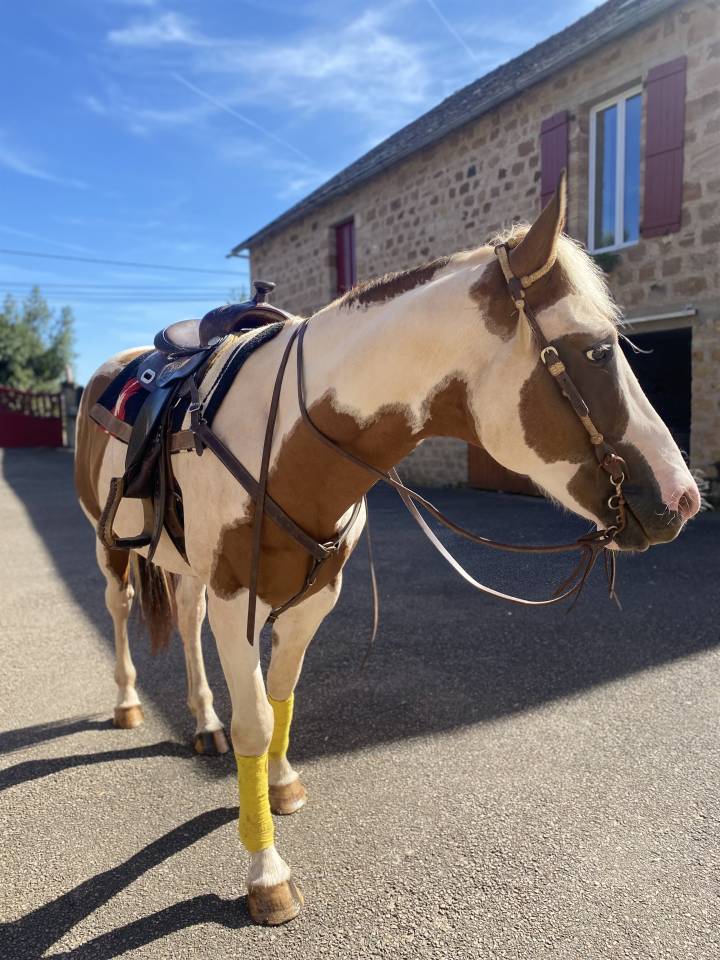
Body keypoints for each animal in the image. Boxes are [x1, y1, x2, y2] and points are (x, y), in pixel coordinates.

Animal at [74, 174, 700, 925]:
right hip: (108, 542)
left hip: (186, 566)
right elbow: (256, 719)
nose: (684, 498)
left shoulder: (316, 597)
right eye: (597, 350)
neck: (291, 441)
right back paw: (128, 703)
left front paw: (282, 785)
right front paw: (266, 874)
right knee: (119, 608)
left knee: (187, 623)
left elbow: (282, 697)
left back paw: (202, 721)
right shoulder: (237, 602)